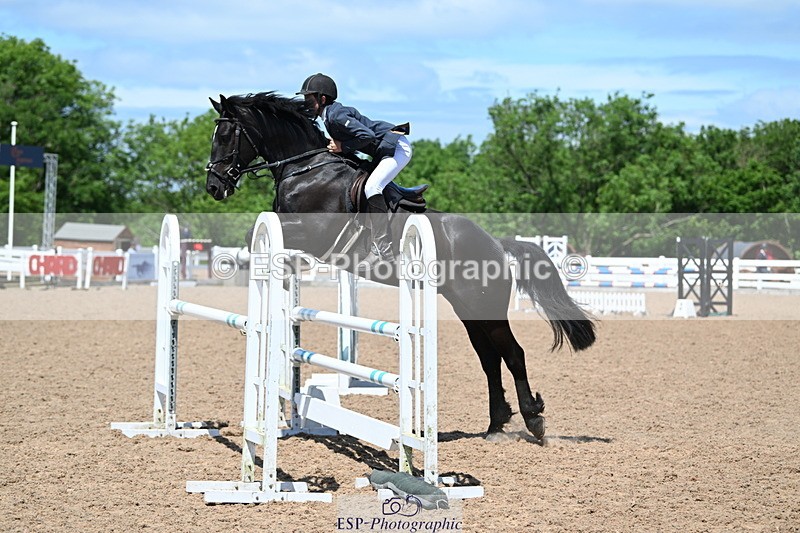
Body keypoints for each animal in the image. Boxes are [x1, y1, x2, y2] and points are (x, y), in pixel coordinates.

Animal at [205, 92, 596, 441]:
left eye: (224, 136)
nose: (213, 187)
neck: (305, 168)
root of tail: (496, 244)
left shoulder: (315, 231)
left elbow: (255, 231)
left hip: (487, 307)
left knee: (513, 355)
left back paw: (534, 421)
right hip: (469, 310)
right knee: (489, 359)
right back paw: (495, 425)